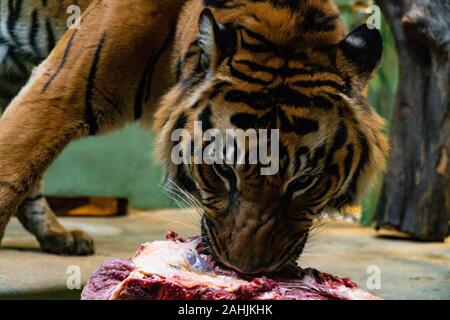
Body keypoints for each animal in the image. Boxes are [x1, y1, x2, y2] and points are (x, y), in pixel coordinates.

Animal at [0, 0, 386, 276]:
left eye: (305, 182)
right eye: (224, 171)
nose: (246, 271)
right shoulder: (60, 92)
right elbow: (11, 172)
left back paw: (58, 235)